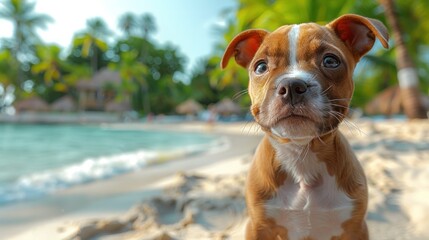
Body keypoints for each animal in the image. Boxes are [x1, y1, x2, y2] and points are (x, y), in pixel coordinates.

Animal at [221, 15, 388, 240]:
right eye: (261, 67)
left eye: (330, 61)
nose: (292, 86)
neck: (301, 157)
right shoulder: (257, 226)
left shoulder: (356, 228)